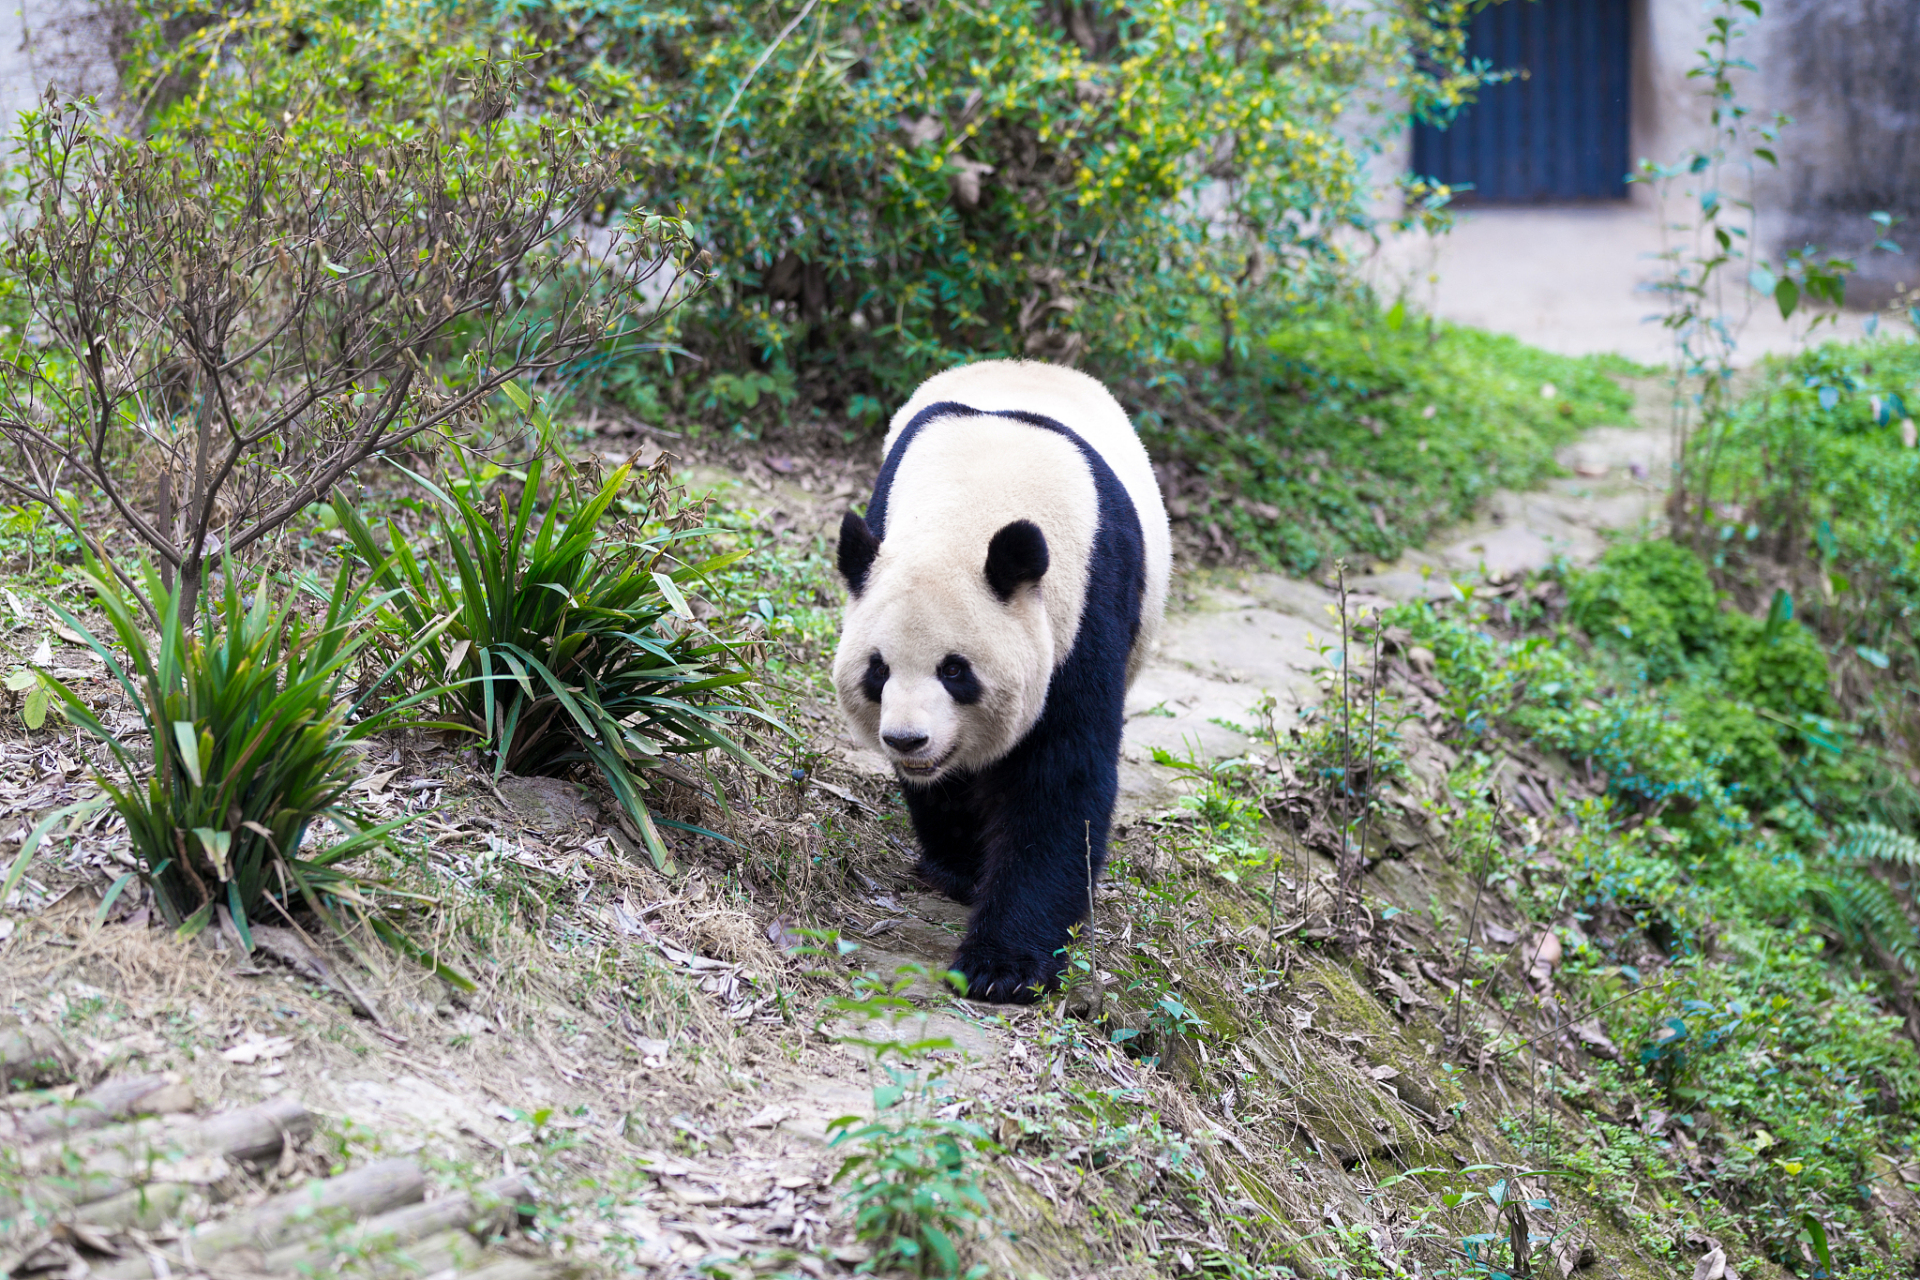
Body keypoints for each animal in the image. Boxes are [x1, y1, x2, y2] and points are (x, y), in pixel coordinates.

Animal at [837, 360, 1175, 997]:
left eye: (955, 671)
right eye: (878, 670)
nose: (907, 741)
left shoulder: (1087, 606)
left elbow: (1059, 775)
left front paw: (1002, 967)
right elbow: (948, 783)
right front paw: (959, 866)